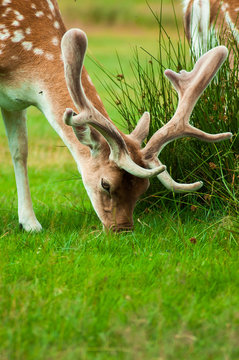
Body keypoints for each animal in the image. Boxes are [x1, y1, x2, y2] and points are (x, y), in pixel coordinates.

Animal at [0, 0, 232, 232]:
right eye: (106, 184)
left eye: (143, 188)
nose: (123, 230)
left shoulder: (14, 102)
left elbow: (20, 151)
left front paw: (29, 223)